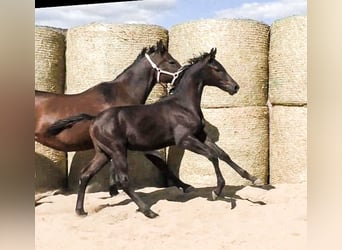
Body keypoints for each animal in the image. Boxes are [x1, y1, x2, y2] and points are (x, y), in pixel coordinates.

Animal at [36, 39, 194, 195]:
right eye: (172, 62)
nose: (185, 75)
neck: (121, 93)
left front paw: (113, 190)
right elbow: (160, 162)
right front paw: (185, 186)